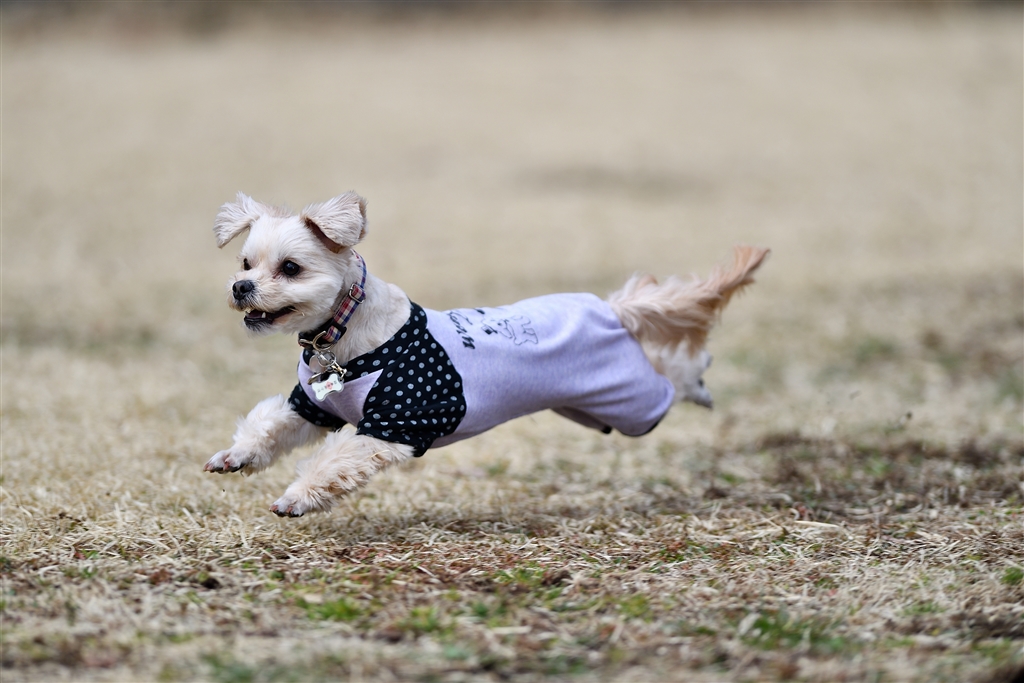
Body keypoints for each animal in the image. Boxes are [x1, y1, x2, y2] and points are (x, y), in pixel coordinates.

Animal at [204, 192, 768, 517]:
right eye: (246, 262)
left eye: (291, 268)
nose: (239, 287)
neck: (343, 338)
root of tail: (610, 309)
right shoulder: (312, 406)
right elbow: (271, 425)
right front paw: (235, 456)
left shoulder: (393, 425)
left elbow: (336, 460)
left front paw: (295, 499)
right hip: (594, 408)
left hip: (633, 403)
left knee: (673, 377)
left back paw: (701, 381)